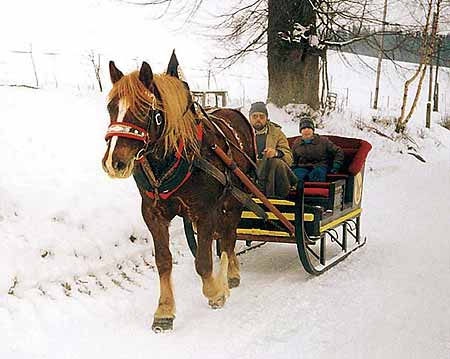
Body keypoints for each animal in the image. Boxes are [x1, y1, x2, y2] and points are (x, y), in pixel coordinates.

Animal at [101, 57, 256, 334]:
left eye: (145, 109)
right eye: (111, 107)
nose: (113, 162)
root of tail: (235, 112)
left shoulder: (205, 211)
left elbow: (203, 261)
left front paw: (215, 292)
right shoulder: (153, 213)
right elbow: (163, 261)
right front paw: (164, 310)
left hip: (236, 198)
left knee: (229, 235)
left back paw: (231, 273)